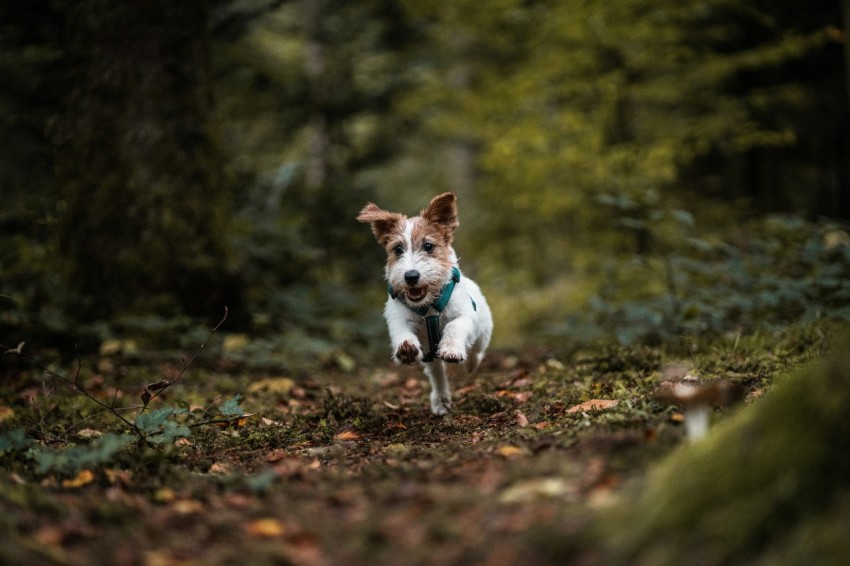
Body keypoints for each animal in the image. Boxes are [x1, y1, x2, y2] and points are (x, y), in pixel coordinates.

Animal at [356, 193, 490, 414]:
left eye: (428, 246)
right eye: (397, 249)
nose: (411, 276)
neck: (428, 307)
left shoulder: (464, 315)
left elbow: (454, 326)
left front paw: (452, 349)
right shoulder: (398, 317)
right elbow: (402, 332)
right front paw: (406, 348)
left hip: (483, 332)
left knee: (477, 352)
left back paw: (470, 364)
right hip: (430, 357)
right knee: (437, 373)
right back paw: (441, 400)